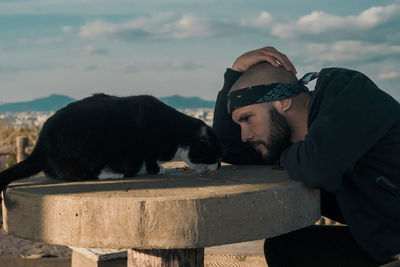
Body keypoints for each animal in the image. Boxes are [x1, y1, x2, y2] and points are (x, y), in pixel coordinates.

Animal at [0, 94, 222, 195]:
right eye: (216, 155)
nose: (220, 165)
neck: (176, 133)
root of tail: (40, 144)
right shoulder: (142, 147)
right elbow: (147, 161)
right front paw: (156, 169)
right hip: (88, 147)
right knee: (75, 174)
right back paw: (112, 174)